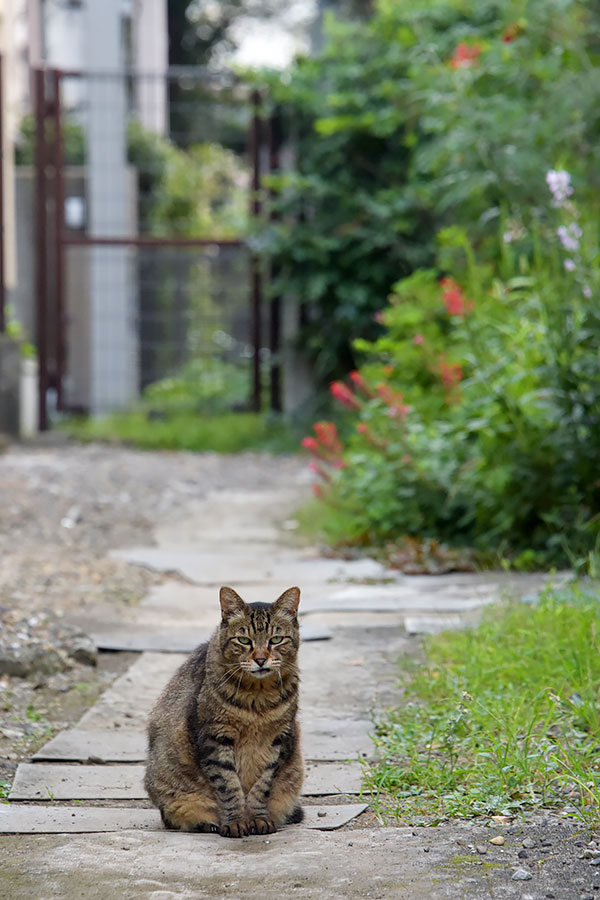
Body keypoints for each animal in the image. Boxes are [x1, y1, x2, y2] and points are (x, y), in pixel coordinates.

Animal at [144, 584, 304, 836]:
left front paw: (258, 818)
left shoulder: (280, 738)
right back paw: (207, 823)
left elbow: (262, 785)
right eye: (244, 640)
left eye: (276, 639)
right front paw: (237, 822)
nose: (260, 659)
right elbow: (229, 786)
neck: (258, 698)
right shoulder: (215, 738)